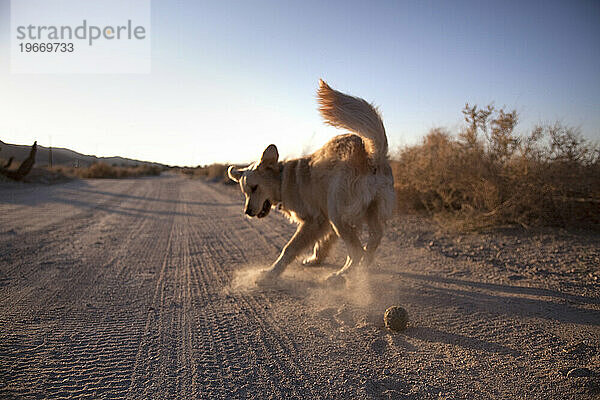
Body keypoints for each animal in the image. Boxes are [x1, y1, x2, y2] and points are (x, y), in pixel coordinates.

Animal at [229, 79, 394, 284]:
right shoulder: (325, 221)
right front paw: (316, 260)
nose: (248, 212)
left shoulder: (314, 220)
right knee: (370, 244)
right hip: (368, 212)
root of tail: (371, 156)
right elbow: (322, 243)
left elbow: (289, 248)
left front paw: (270, 273)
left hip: (338, 213)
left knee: (357, 252)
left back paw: (340, 275)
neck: (283, 180)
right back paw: (357, 271)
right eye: (245, 192)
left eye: (254, 188)